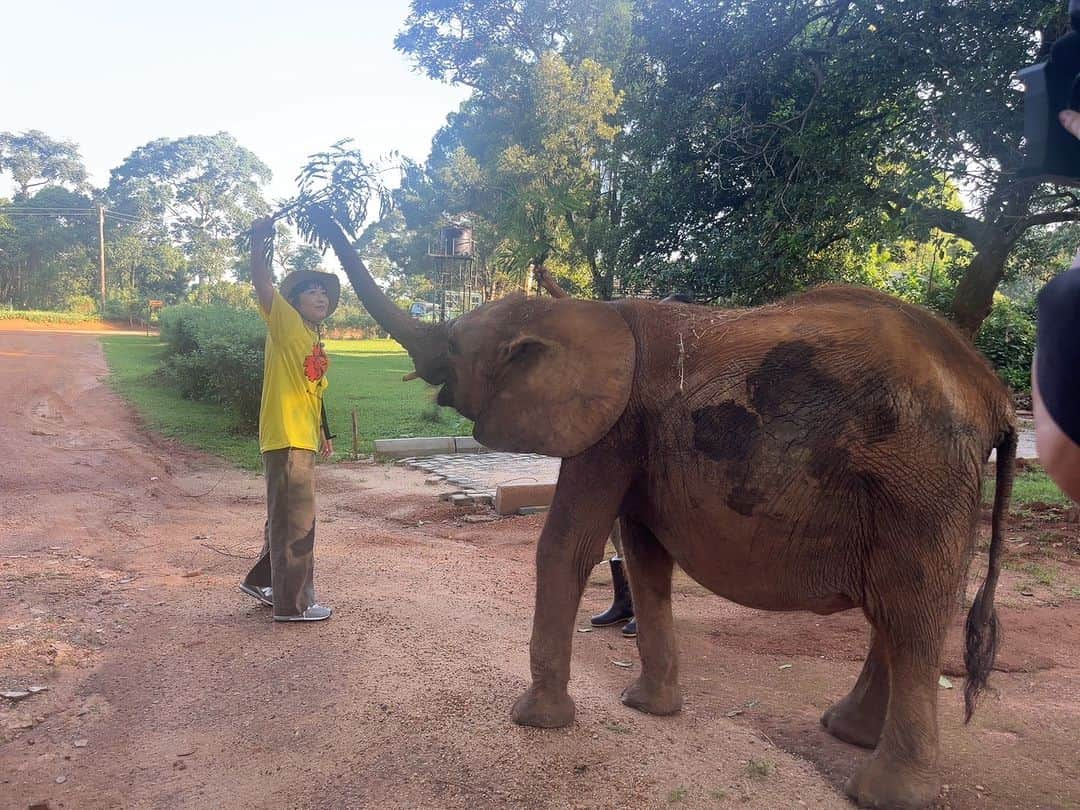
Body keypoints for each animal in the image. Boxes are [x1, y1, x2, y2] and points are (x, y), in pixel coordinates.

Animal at [311, 210, 1010, 810]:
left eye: (453, 343)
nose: (318, 207)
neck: (575, 312)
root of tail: (992, 393)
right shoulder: (640, 434)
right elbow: (644, 553)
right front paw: (646, 708)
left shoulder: (613, 424)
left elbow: (567, 545)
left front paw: (535, 721)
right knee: (902, 608)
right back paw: (845, 731)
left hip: (921, 474)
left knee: (910, 606)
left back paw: (881, 791)